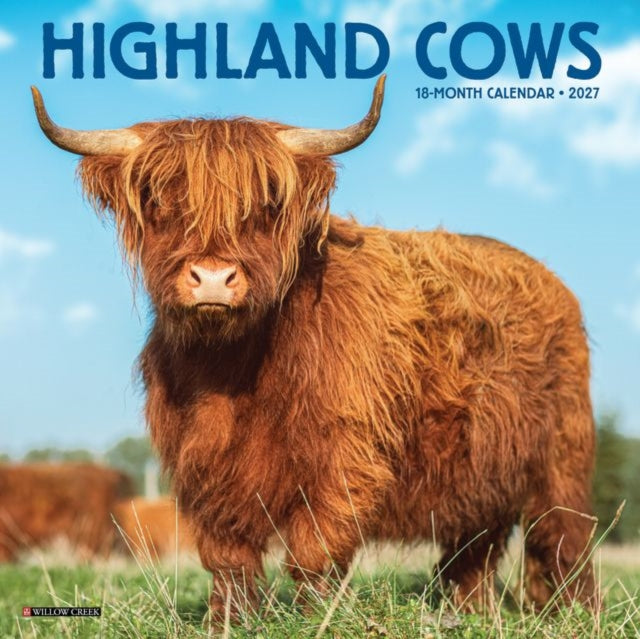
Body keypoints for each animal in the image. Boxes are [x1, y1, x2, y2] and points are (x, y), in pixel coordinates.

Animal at [32, 76, 596, 618]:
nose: (213, 278)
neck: (232, 372)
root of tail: (550, 279)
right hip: (481, 477)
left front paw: (313, 617)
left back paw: (572, 613)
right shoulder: (203, 465)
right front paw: (227, 622)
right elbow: (227, 557)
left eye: (266, 205)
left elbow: (314, 550)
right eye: (157, 200)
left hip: (563, 457)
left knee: (564, 538)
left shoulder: (345, 455)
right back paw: (470, 612)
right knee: (473, 550)